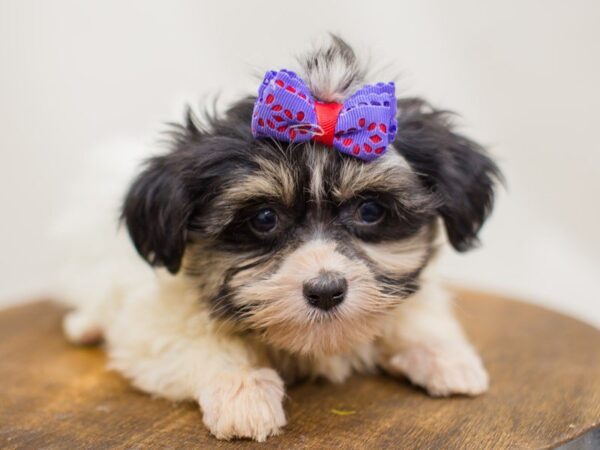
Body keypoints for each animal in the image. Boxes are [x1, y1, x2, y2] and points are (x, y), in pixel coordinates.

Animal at [59, 36, 502, 442]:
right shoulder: (156, 323)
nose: (326, 291)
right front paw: (242, 392)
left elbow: (418, 313)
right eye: (264, 218)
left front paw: (445, 357)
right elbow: (197, 344)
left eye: (370, 211)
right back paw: (85, 325)